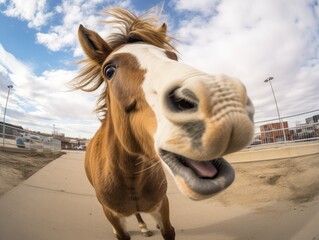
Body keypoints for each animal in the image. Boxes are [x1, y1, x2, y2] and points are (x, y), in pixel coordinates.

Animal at [74, 7, 255, 240]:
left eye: (173, 56)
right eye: (109, 70)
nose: (221, 100)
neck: (130, 177)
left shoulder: (162, 207)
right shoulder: (114, 218)